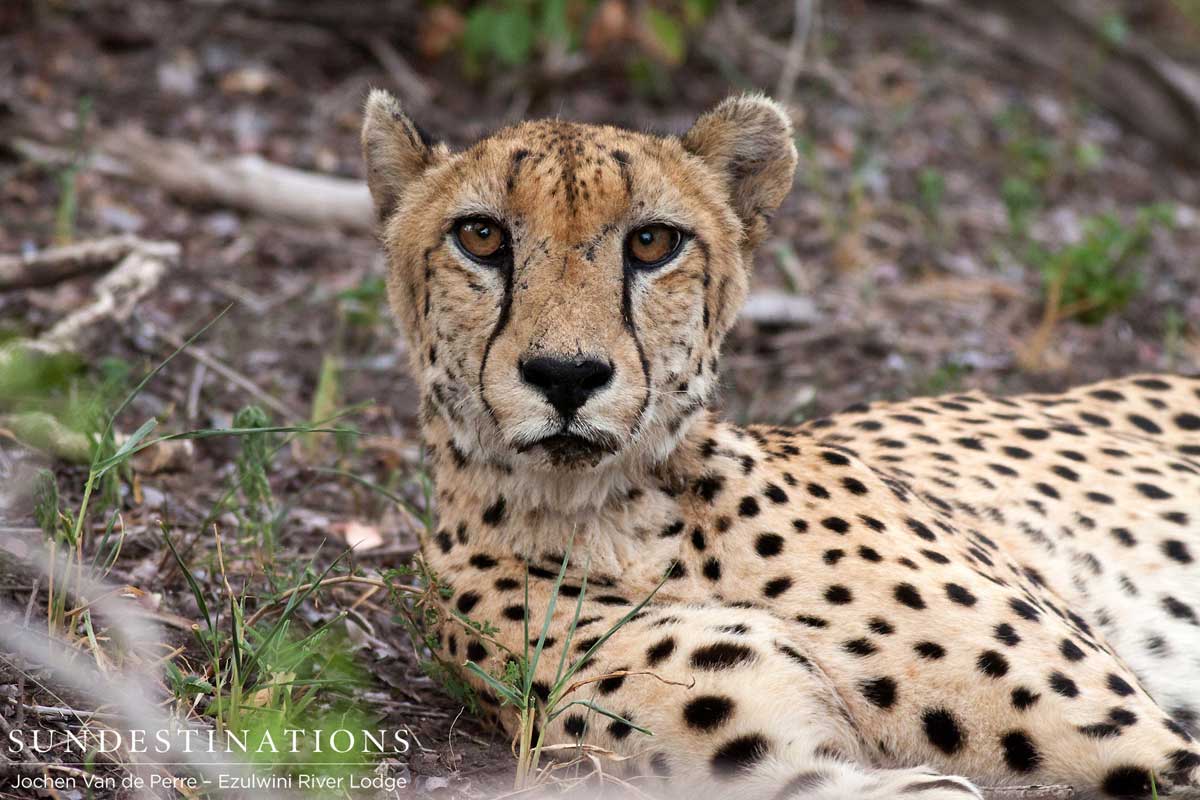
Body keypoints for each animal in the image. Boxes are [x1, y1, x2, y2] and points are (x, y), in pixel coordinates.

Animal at [360, 88, 1200, 799]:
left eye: (653, 242)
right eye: (480, 236)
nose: (566, 375)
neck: (622, 525)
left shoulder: (1157, 749)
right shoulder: (797, 768)